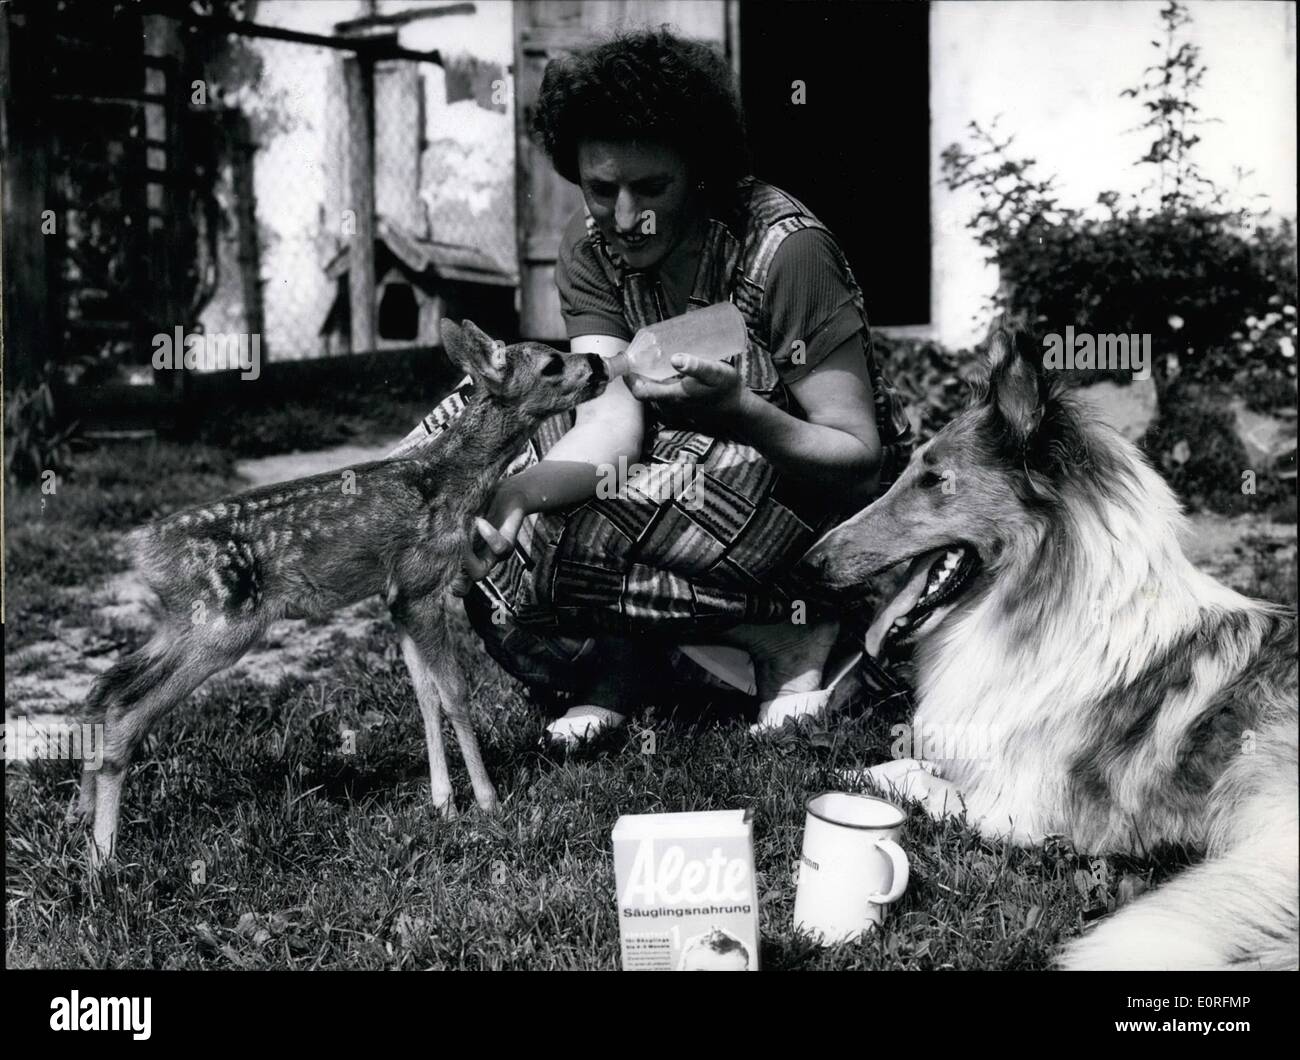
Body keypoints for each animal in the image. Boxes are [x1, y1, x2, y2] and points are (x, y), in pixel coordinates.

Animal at [76, 318, 608, 868]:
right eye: (551, 364)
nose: (599, 363)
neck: (450, 483)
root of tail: (144, 549)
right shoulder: (421, 584)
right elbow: (455, 693)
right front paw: (488, 802)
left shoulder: (397, 598)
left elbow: (425, 696)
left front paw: (444, 804)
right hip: (222, 625)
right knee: (126, 710)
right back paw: (103, 857)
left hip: (183, 622)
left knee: (104, 687)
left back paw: (82, 819)